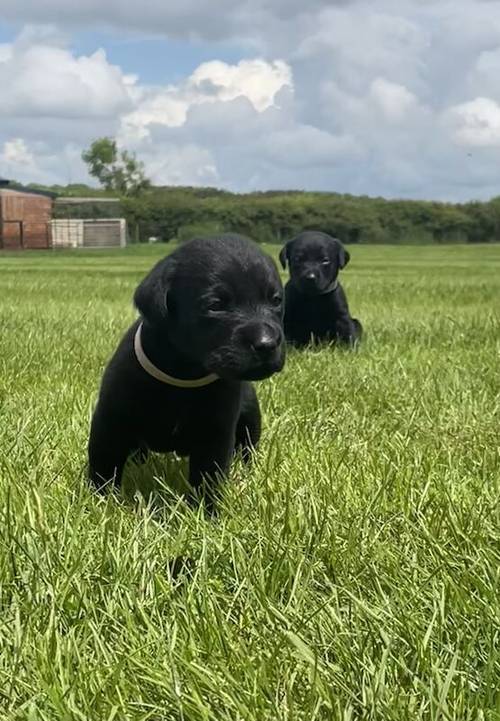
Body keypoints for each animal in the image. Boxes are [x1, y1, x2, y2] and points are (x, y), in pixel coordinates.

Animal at [88, 233, 288, 510]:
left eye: (276, 300)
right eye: (216, 305)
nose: (267, 343)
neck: (183, 376)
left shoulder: (216, 433)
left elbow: (209, 476)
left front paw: (207, 512)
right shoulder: (110, 420)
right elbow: (104, 464)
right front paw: (100, 502)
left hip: (250, 421)